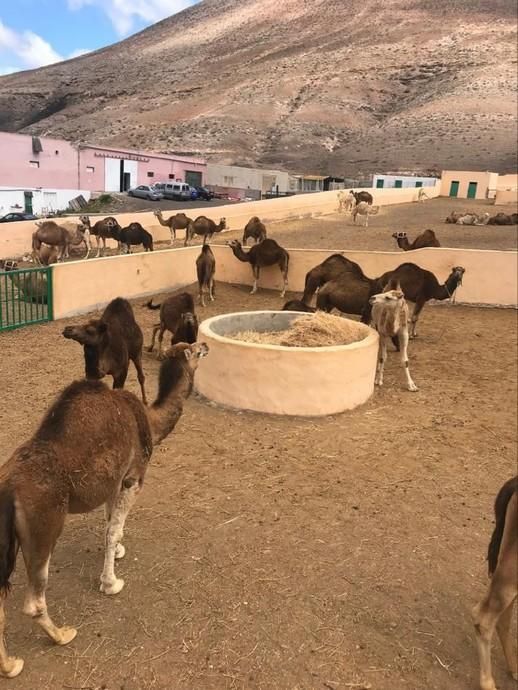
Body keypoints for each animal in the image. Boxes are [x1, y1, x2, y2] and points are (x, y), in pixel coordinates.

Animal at [0, 342, 211, 676]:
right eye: (193, 350)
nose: (206, 344)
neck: (150, 420)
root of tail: (9, 489)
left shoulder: (114, 480)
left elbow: (111, 521)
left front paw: (119, 552)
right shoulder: (132, 477)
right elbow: (112, 529)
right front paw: (111, 583)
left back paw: (10, 666)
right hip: (43, 526)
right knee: (34, 600)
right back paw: (62, 635)